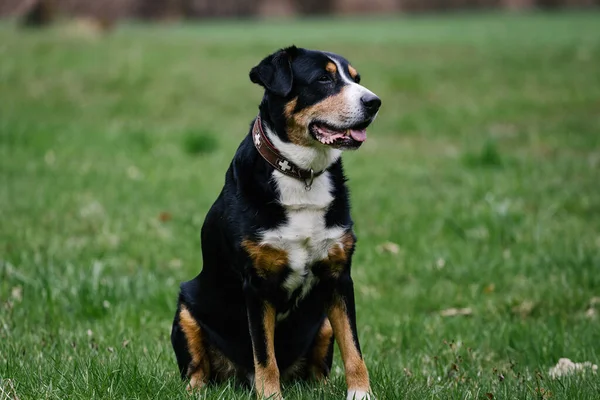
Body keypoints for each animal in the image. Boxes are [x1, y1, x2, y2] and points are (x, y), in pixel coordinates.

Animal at [171, 45, 382, 398]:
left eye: (355, 78)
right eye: (323, 78)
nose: (374, 102)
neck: (302, 175)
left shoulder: (339, 277)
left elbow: (353, 348)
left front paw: (360, 393)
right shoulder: (257, 285)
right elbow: (264, 356)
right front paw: (270, 395)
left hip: (321, 321)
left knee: (318, 370)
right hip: (187, 308)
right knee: (198, 369)